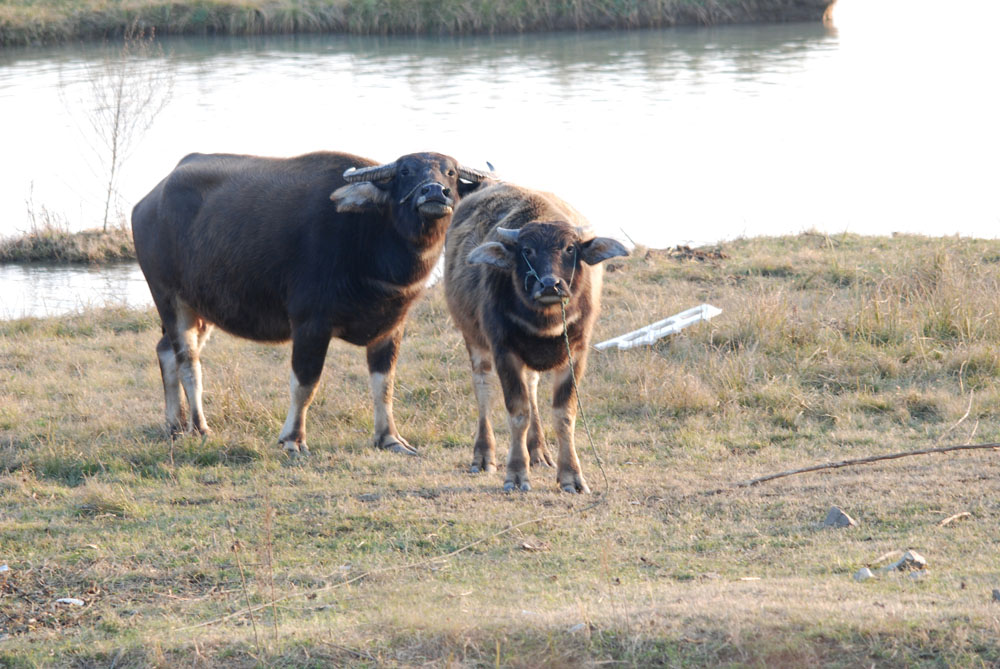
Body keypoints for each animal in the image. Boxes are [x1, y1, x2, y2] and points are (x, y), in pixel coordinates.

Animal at [133, 151, 492, 454]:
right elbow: (305, 384)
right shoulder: (310, 324)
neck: (369, 239)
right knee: (188, 360)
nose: (434, 192)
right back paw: (199, 426)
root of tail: (148, 202)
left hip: (202, 309)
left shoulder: (391, 327)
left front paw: (389, 438)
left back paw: (175, 424)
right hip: (169, 298)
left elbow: (384, 384)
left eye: (450, 172)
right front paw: (292, 440)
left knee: (165, 351)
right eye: (405, 171)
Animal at [444, 183, 624, 490]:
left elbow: (564, 414)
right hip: (474, 339)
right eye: (527, 249)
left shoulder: (577, 352)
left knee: (532, 386)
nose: (550, 284)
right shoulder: (504, 351)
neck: (546, 321)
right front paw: (516, 473)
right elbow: (518, 412)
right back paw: (483, 456)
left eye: (569, 248)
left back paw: (538, 451)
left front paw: (571, 475)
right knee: (483, 388)